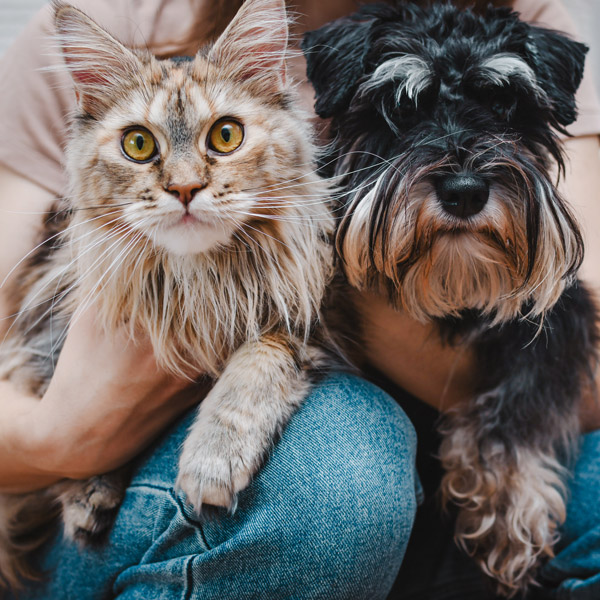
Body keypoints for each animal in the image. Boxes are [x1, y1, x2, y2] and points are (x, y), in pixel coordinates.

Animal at [304, 3, 600, 596]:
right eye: (400, 107)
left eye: (505, 104)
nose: (465, 191)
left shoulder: (562, 312)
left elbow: (519, 404)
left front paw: (508, 503)